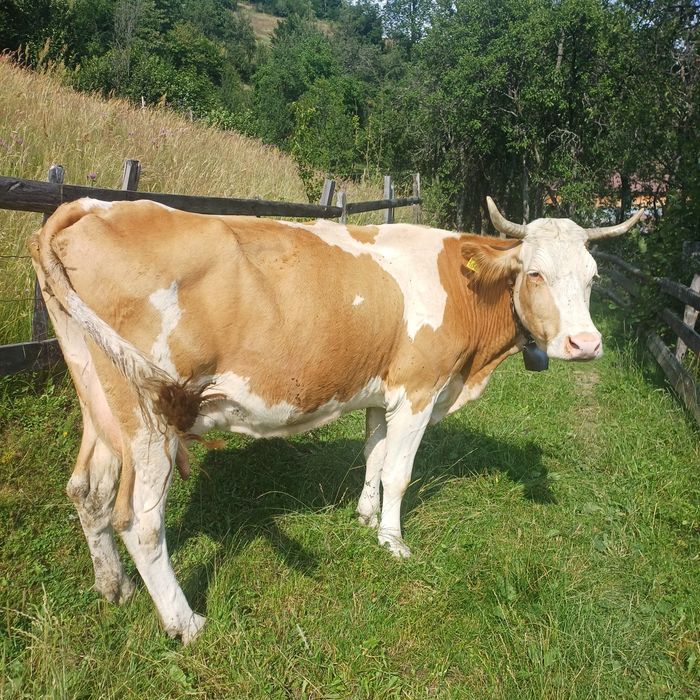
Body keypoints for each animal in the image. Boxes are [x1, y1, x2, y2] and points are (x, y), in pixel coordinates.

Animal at [29, 196, 642, 643]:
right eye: (534, 273)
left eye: (592, 277)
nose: (585, 344)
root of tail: (94, 205)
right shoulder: (419, 389)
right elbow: (400, 471)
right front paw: (393, 541)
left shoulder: (380, 391)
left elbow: (374, 453)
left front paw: (366, 515)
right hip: (149, 417)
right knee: (140, 522)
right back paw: (185, 623)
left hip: (100, 403)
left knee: (87, 490)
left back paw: (114, 588)